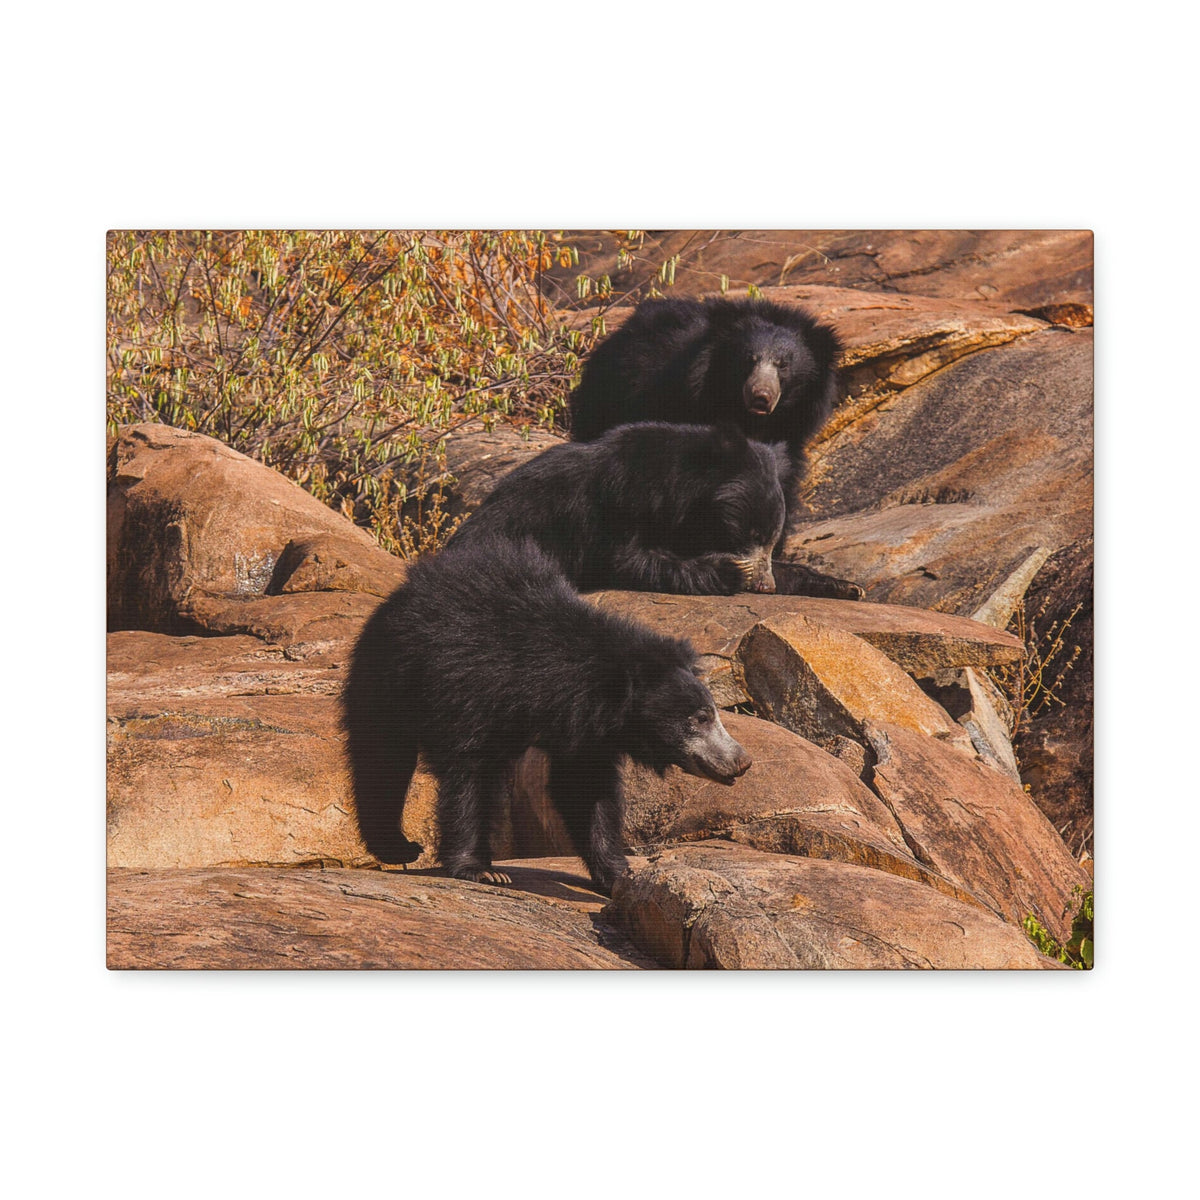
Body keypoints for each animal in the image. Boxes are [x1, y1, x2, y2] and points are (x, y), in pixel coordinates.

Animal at [341, 538, 752, 894]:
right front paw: (482, 870)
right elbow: (470, 774)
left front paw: (618, 874)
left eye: (712, 713)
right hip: (389, 675)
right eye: (700, 718)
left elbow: (585, 791)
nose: (742, 761)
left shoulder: (587, 731)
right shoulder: (470, 687)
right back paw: (399, 846)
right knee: (382, 757)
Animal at [444, 422, 788, 595]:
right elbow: (625, 559)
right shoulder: (617, 502)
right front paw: (731, 571)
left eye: (773, 541)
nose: (766, 586)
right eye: (753, 534)